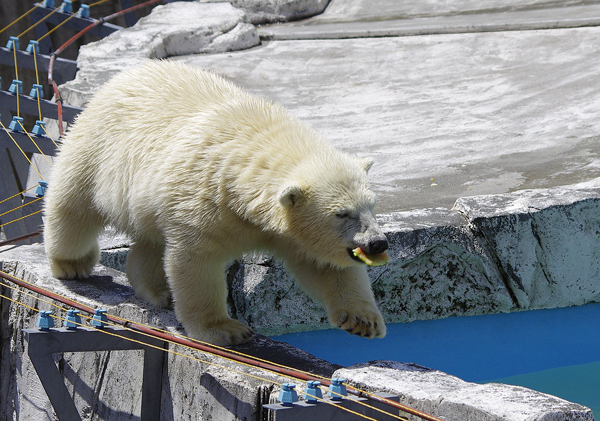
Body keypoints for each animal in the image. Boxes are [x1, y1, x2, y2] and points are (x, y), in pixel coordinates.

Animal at [42, 60, 390, 344]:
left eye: (371, 205)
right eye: (342, 214)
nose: (378, 242)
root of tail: (120, 77)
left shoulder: (286, 230)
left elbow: (326, 266)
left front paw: (363, 320)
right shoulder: (206, 199)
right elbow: (197, 260)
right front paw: (226, 329)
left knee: (150, 238)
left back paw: (158, 289)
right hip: (97, 147)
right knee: (72, 206)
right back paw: (72, 263)